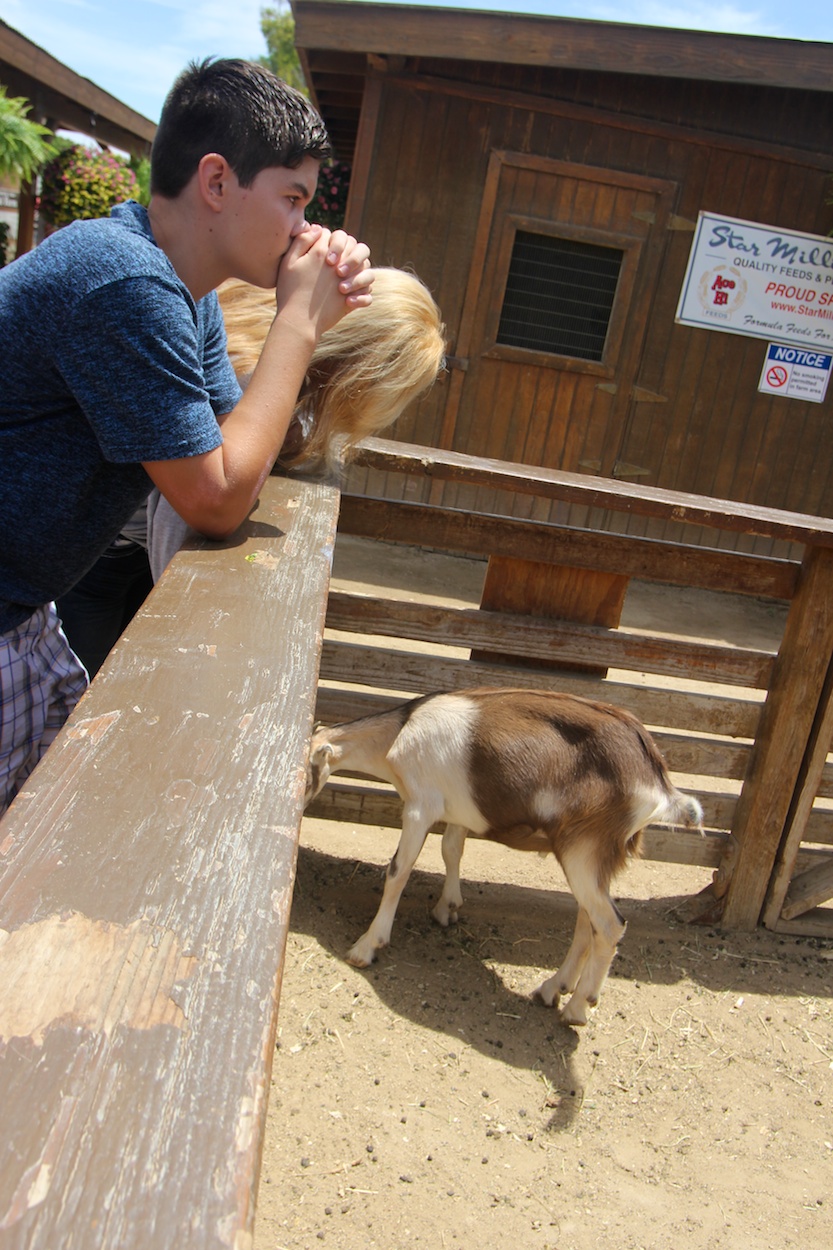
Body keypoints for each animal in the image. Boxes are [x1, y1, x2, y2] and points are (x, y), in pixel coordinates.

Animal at [305, 685, 700, 1025]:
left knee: (609, 924)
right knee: (587, 920)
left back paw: (577, 1008)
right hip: (593, 860)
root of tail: (659, 781)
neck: (400, 732)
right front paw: (447, 908)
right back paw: (552, 989)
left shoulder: (420, 807)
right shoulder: (457, 811)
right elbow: (451, 850)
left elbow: (398, 871)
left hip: (583, 850)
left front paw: (366, 947)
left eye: (304, 772)